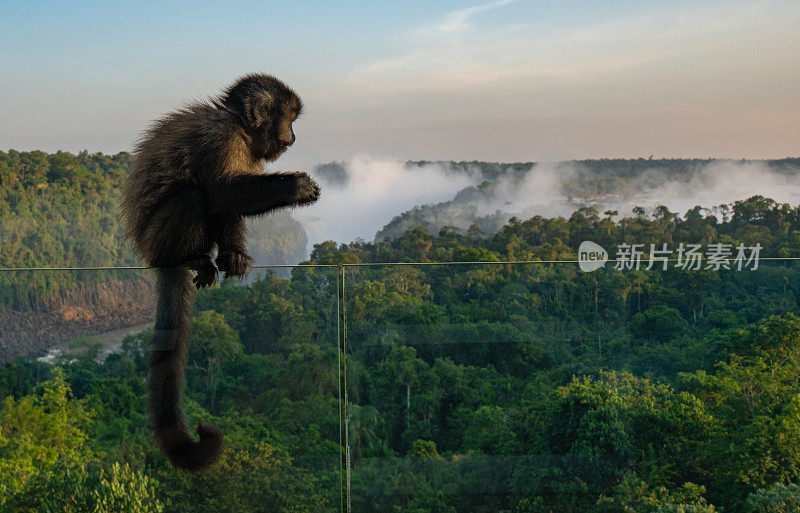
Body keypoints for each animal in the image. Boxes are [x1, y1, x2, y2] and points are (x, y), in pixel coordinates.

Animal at [120, 74, 320, 470]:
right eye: (289, 120)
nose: (292, 137)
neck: (239, 127)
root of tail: (150, 253)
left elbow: (231, 199)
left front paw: (235, 254)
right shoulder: (221, 138)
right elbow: (223, 190)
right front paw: (295, 186)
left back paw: (227, 256)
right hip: (158, 238)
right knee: (197, 196)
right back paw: (192, 257)